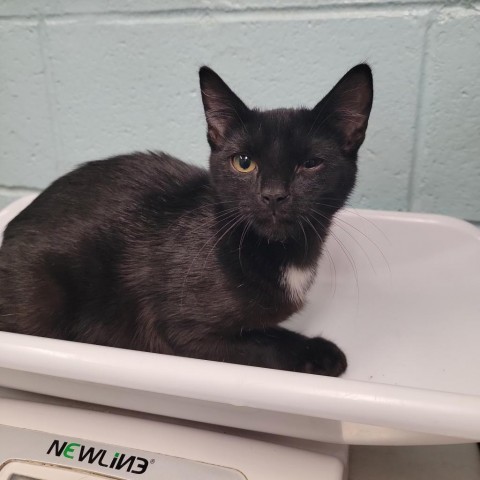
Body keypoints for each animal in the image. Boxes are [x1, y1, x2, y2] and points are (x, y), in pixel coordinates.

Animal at [0, 64, 374, 376]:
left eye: (311, 164)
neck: (281, 251)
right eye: (244, 162)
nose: (273, 195)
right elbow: (264, 344)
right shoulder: (183, 331)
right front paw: (320, 353)